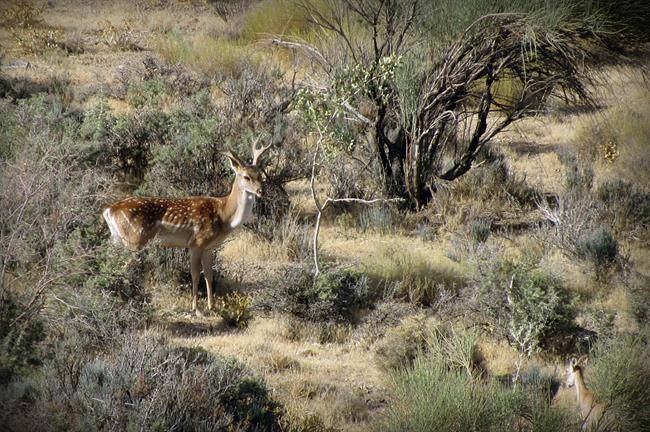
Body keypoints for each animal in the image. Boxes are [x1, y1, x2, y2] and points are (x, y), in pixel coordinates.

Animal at [102, 140, 270, 316]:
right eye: (246, 177)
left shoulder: (209, 247)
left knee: (110, 262)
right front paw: (196, 309)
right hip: (134, 239)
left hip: (116, 238)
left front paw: (212, 307)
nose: (261, 191)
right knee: (123, 266)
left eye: (261, 176)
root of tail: (109, 210)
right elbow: (195, 274)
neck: (224, 215)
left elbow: (209, 275)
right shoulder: (196, 242)